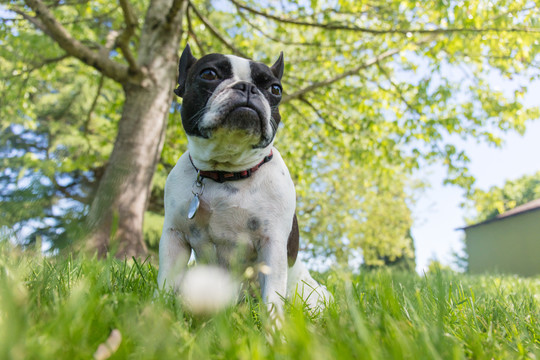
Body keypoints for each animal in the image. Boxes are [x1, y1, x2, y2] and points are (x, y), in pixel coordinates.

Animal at [156, 45, 332, 318]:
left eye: (275, 89)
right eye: (209, 74)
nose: (247, 87)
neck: (226, 172)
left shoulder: (272, 243)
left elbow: (272, 294)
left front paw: (274, 328)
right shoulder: (174, 237)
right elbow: (166, 281)